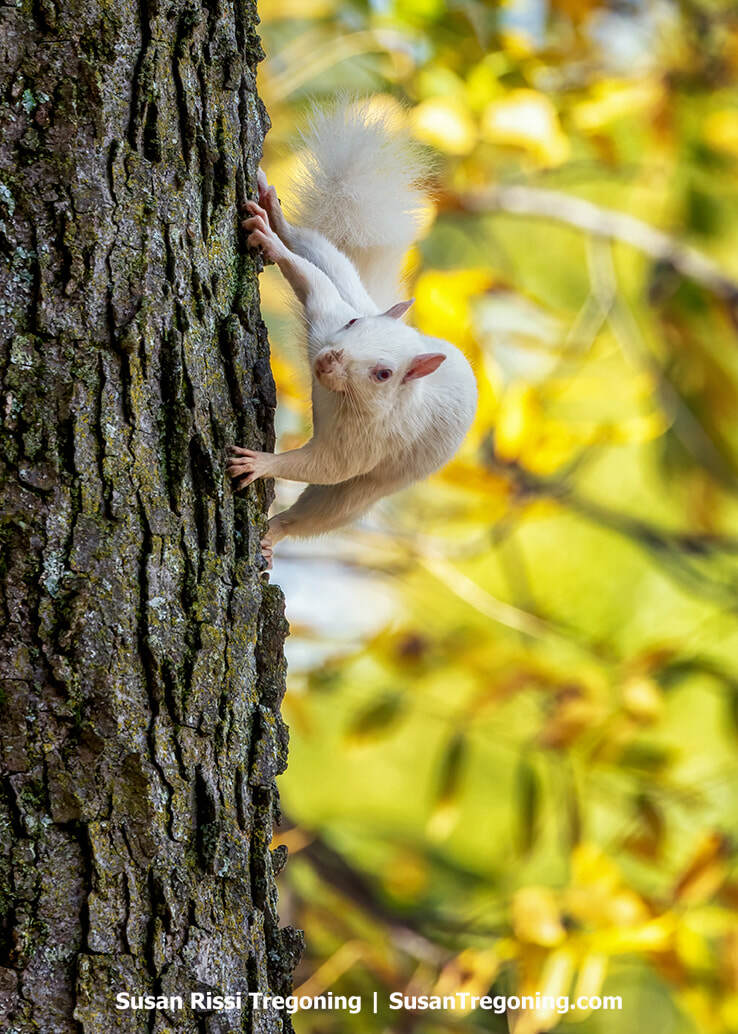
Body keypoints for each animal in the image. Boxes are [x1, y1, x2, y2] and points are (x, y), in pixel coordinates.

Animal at [227, 100, 478, 566]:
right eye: (355, 325)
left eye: (383, 374)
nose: (328, 359)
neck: (336, 395)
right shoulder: (326, 318)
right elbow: (309, 280)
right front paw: (271, 244)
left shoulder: (366, 442)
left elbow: (325, 465)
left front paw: (260, 465)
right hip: (346, 290)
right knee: (321, 256)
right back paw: (276, 219)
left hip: (365, 491)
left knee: (328, 508)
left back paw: (275, 532)